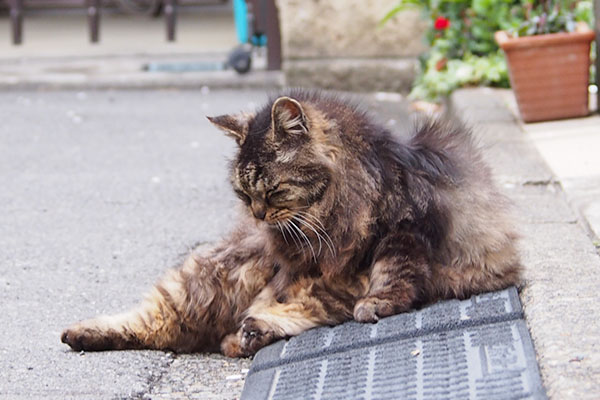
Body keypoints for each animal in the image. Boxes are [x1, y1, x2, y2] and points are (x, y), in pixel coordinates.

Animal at [61, 88, 520, 356]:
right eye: (244, 193)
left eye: (275, 191)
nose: (257, 215)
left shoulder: (408, 226)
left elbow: (393, 271)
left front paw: (377, 303)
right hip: (212, 276)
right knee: (158, 319)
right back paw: (80, 333)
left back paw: (249, 335)